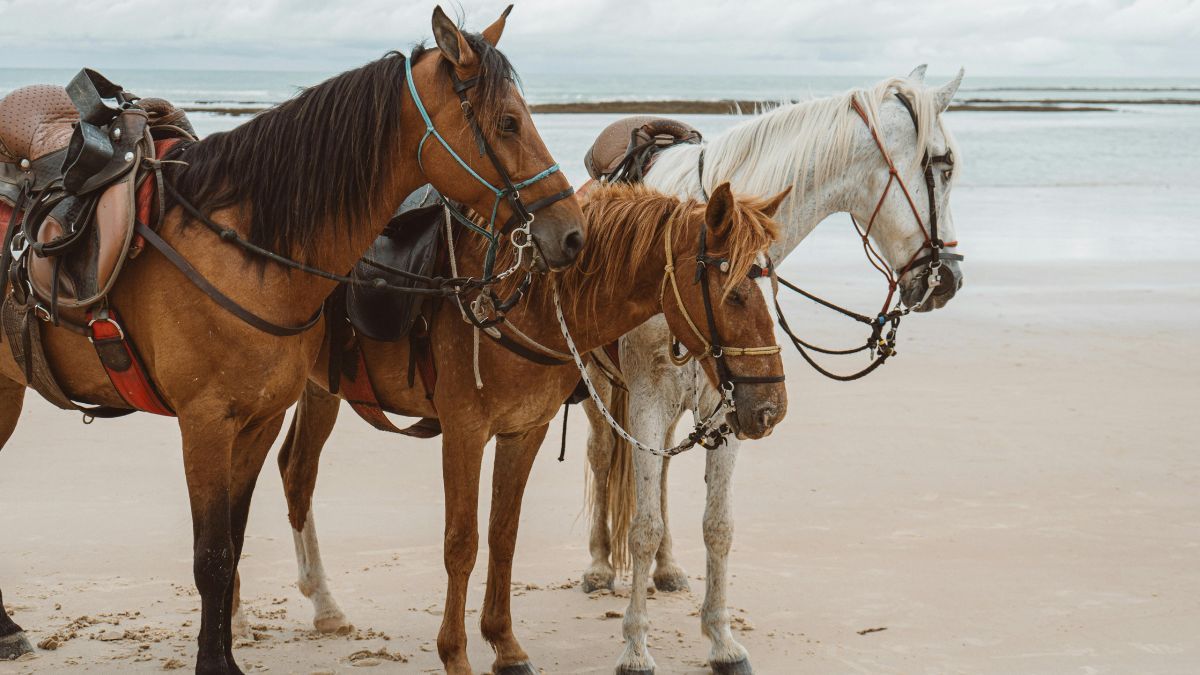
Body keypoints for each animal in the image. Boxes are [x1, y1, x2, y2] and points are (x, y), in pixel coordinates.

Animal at [0, 7, 585, 673]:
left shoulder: (259, 417)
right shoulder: (205, 422)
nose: (570, 234)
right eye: (508, 122)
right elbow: (211, 557)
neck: (241, 246)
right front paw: (216, 662)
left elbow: (231, 544)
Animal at [226, 180, 791, 674]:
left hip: (321, 389)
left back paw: (324, 606)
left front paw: (505, 646)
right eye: (734, 293)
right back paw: (235, 620)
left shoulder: (525, 431)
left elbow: (503, 534)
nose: (771, 408)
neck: (521, 298)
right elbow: (461, 543)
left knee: (296, 473)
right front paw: (455, 654)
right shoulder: (464, 432)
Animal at [580, 66, 967, 674]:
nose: (949, 278)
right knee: (602, 459)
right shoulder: (646, 400)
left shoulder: (729, 408)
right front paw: (636, 648)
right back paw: (598, 566)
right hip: (604, 390)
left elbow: (717, 526)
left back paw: (668, 570)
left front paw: (721, 641)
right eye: (944, 164)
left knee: (659, 479)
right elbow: (642, 527)